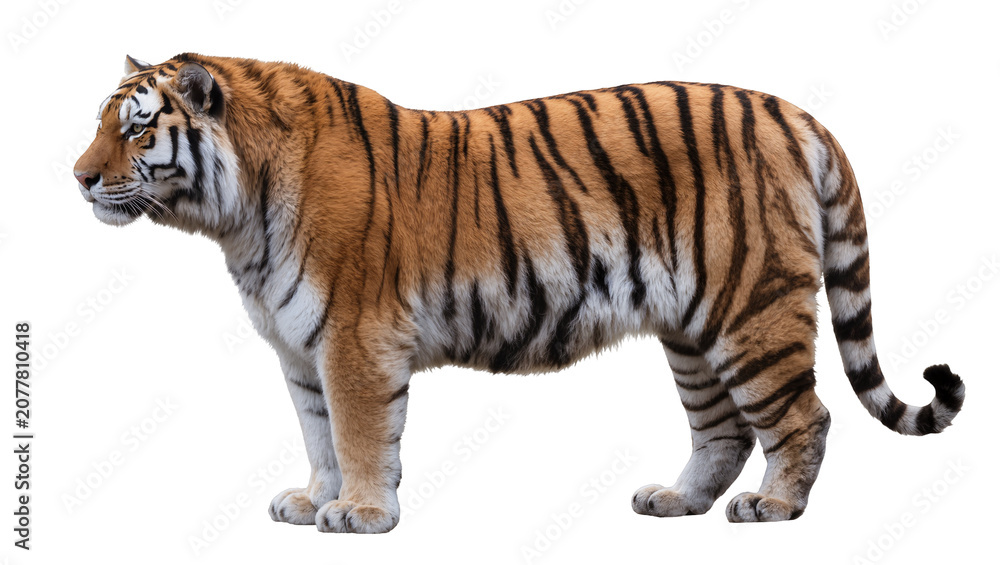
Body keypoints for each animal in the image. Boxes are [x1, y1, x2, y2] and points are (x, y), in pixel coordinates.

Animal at [73, 53, 965, 533]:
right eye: (103, 122)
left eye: (137, 126)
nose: (77, 176)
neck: (236, 219)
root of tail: (794, 112)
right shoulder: (301, 348)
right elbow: (319, 432)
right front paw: (313, 499)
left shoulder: (354, 338)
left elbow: (359, 434)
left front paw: (361, 513)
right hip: (693, 328)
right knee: (723, 429)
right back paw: (675, 500)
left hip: (752, 307)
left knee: (802, 415)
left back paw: (773, 507)